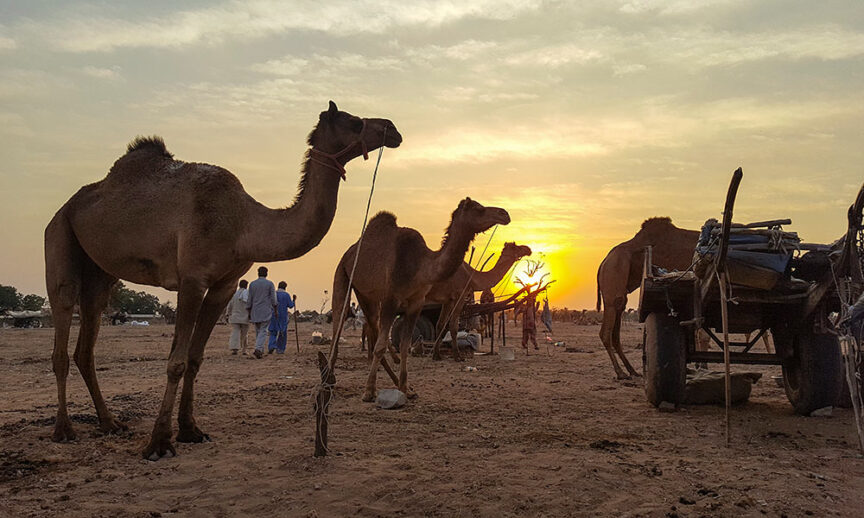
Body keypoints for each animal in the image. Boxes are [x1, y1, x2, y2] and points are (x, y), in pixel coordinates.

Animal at [44, 101, 401, 460]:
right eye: (352, 121)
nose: (393, 128)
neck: (244, 223)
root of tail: (68, 205)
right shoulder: (191, 278)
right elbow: (176, 361)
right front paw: (159, 442)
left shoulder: (224, 284)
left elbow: (194, 358)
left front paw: (190, 430)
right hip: (59, 233)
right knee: (62, 320)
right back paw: (64, 430)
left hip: (100, 273)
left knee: (87, 339)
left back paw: (109, 423)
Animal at [330, 198, 510, 401]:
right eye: (479, 209)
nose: (504, 214)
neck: (420, 266)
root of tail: (350, 251)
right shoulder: (392, 299)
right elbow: (381, 345)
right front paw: (368, 391)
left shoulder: (416, 302)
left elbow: (405, 345)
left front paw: (405, 389)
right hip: (343, 275)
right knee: (339, 325)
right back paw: (329, 380)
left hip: (367, 295)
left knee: (372, 328)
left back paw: (392, 380)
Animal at [596, 217, 699, 379]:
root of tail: (603, 262)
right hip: (614, 272)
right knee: (606, 331)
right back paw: (620, 372)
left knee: (616, 331)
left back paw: (632, 370)